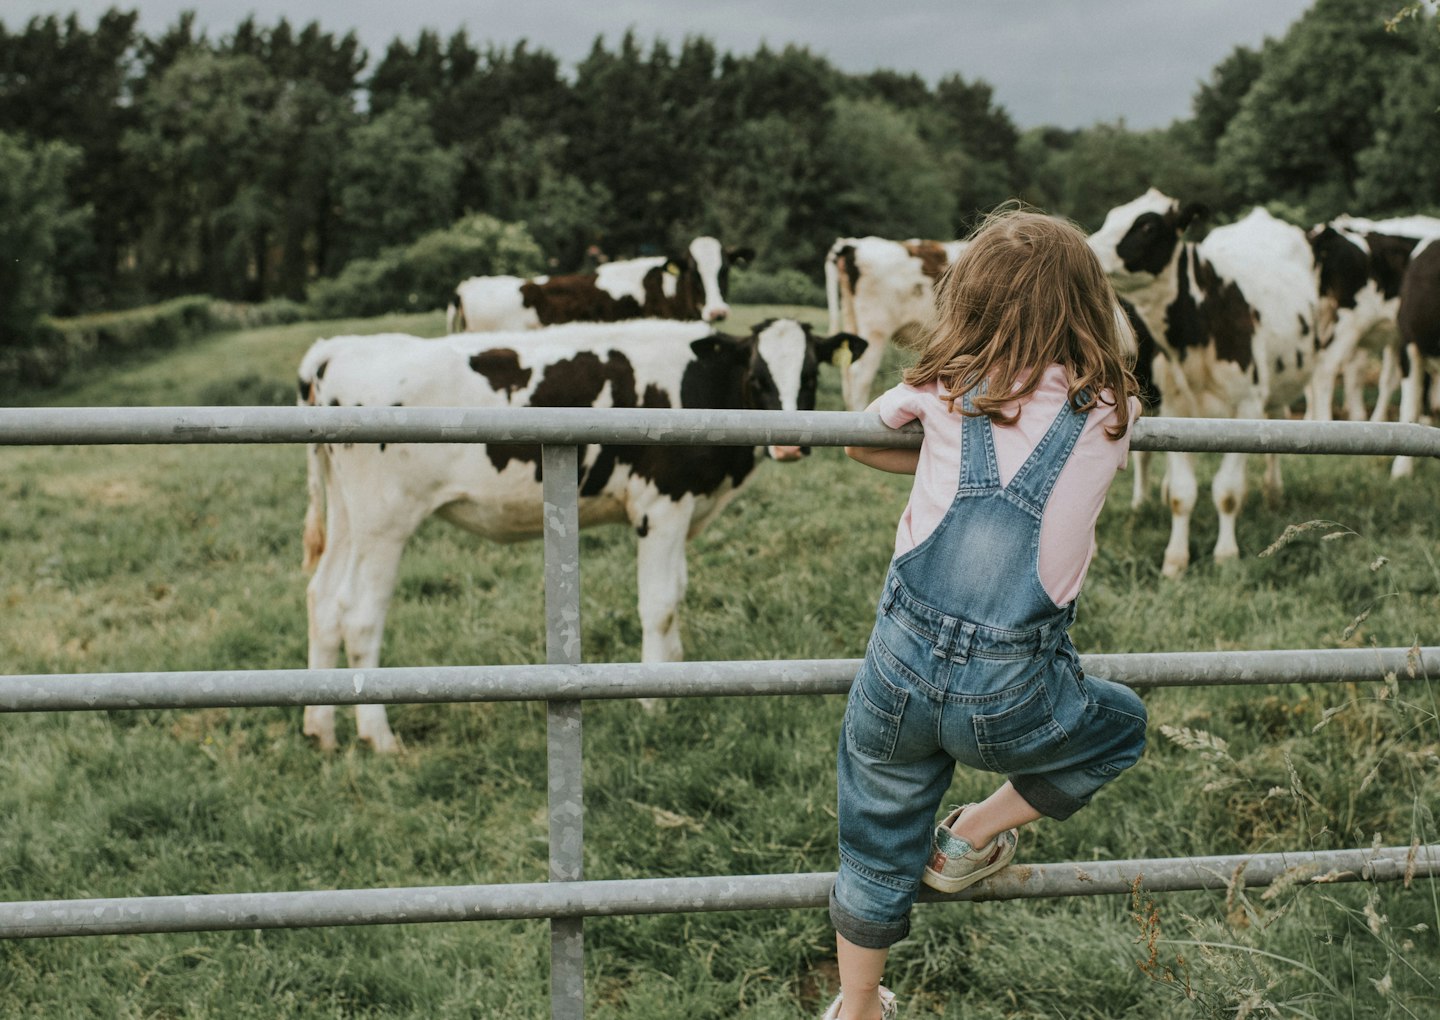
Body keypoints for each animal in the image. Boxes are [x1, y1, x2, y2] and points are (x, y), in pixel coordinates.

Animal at [289, 316, 852, 749]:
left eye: (809, 373)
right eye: (758, 375)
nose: (790, 445)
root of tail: (336, 347)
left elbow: (676, 596)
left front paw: (674, 674)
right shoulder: (661, 506)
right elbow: (660, 604)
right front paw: (653, 700)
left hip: (348, 517)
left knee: (322, 600)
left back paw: (321, 728)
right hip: (384, 521)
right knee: (358, 614)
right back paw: (379, 736)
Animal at [1082, 187, 1319, 579]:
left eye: (1147, 225)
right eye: (1112, 216)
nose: (1088, 248)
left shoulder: (1247, 409)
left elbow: (1228, 491)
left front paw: (1226, 554)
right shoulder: (1176, 408)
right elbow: (1182, 493)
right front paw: (1176, 560)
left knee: (1280, 427)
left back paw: (1273, 492)